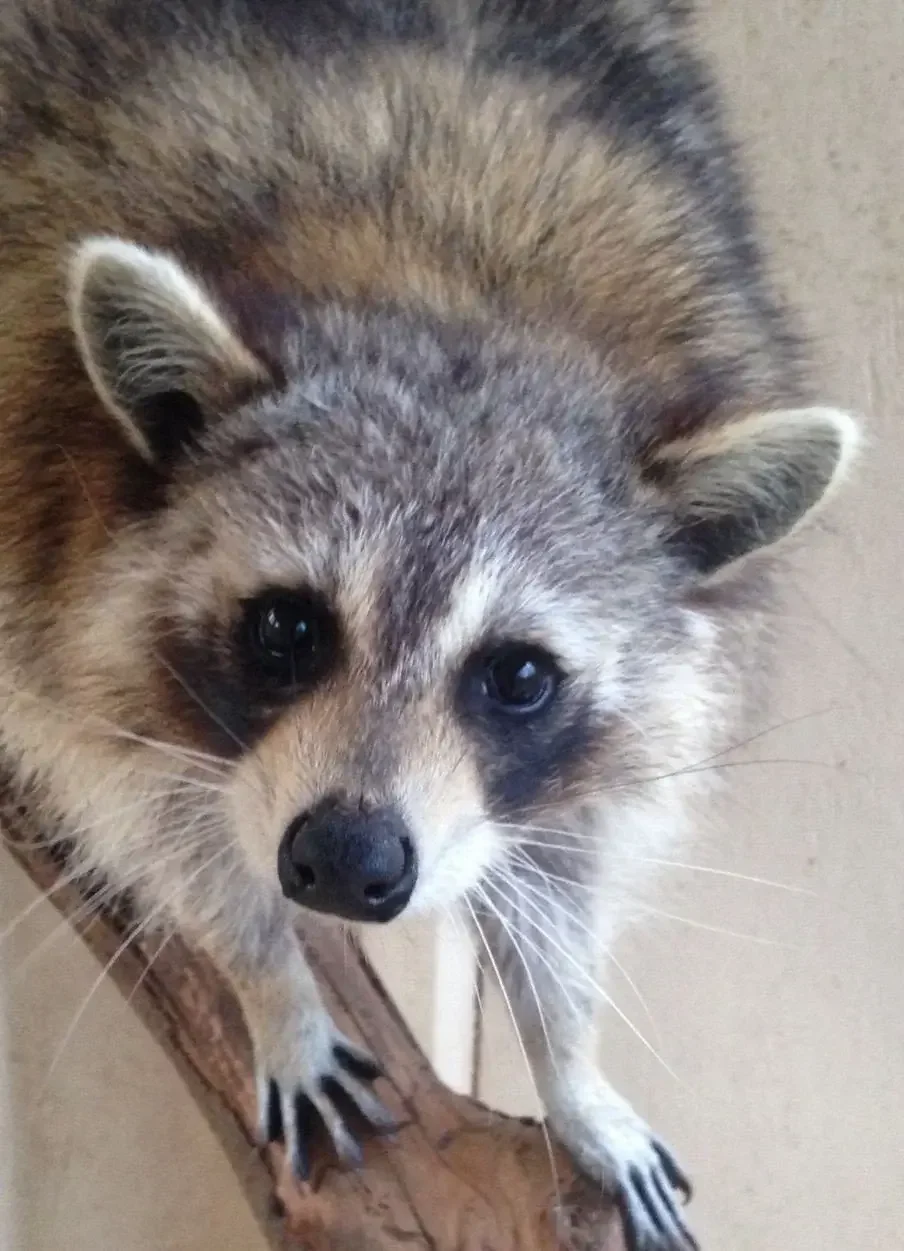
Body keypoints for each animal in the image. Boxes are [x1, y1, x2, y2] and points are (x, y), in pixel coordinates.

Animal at [0, 2, 857, 1247]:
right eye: (287, 627)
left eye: (517, 676)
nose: (344, 865)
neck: (451, 284)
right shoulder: (41, 547)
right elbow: (158, 819)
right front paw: (271, 984)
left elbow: (560, 873)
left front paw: (569, 1061)